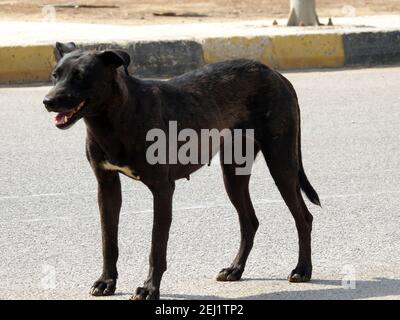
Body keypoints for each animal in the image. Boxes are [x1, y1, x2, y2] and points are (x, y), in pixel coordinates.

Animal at [43, 42, 318, 300]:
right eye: (55, 75)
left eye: (81, 76)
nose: (47, 101)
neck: (114, 118)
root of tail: (275, 73)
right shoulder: (107, 186)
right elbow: (108, 241)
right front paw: (106, 281)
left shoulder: (163, 190)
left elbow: (156, 246)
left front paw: (149, 288)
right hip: (233, 174)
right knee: (250, 222)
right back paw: (235, 269)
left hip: (281, 164)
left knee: (303, 218)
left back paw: (302, 269)